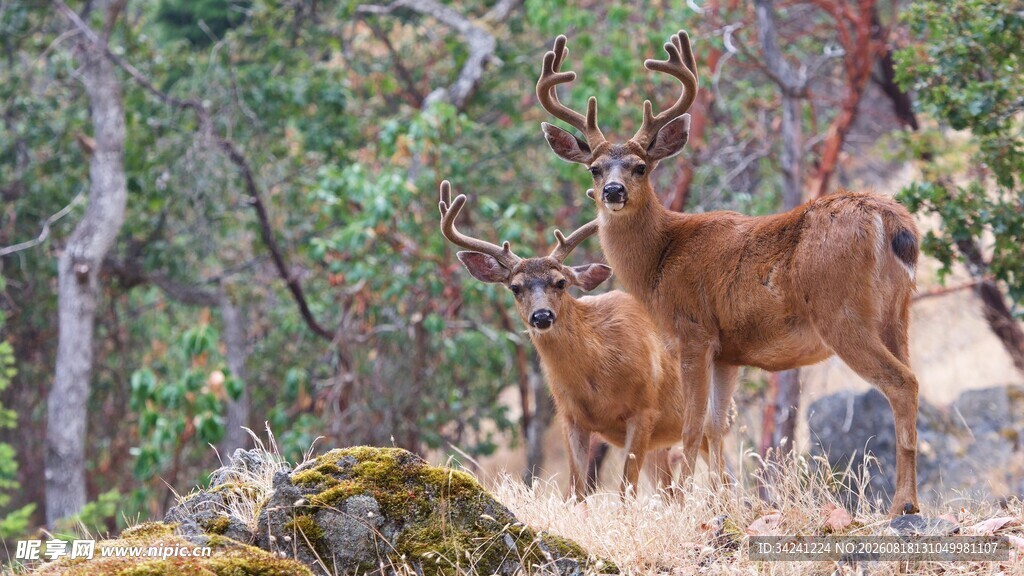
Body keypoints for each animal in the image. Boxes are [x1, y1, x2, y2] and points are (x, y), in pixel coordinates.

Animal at [439, 180, 711, 499]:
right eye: (515, 287)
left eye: (561, 282)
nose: (542, 316)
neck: (597, 379)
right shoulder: (570, 417)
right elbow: (576, 491)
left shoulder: (644, 410)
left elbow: (626, 490)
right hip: (662, 443)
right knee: (669, 491)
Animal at [536, 31, 922, 515]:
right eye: (594, 168)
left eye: (641, 166)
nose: (613, 191)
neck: (659, 259)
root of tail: (892, 221)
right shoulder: (728, 352)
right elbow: (716, 428)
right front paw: (724, 504)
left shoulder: (693, 331)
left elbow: (691, 427)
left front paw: (685, 504)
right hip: (898, 310)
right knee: (912, 377)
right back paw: (912, 501)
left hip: (841, 312)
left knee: (902, 383)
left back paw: (901, 505)